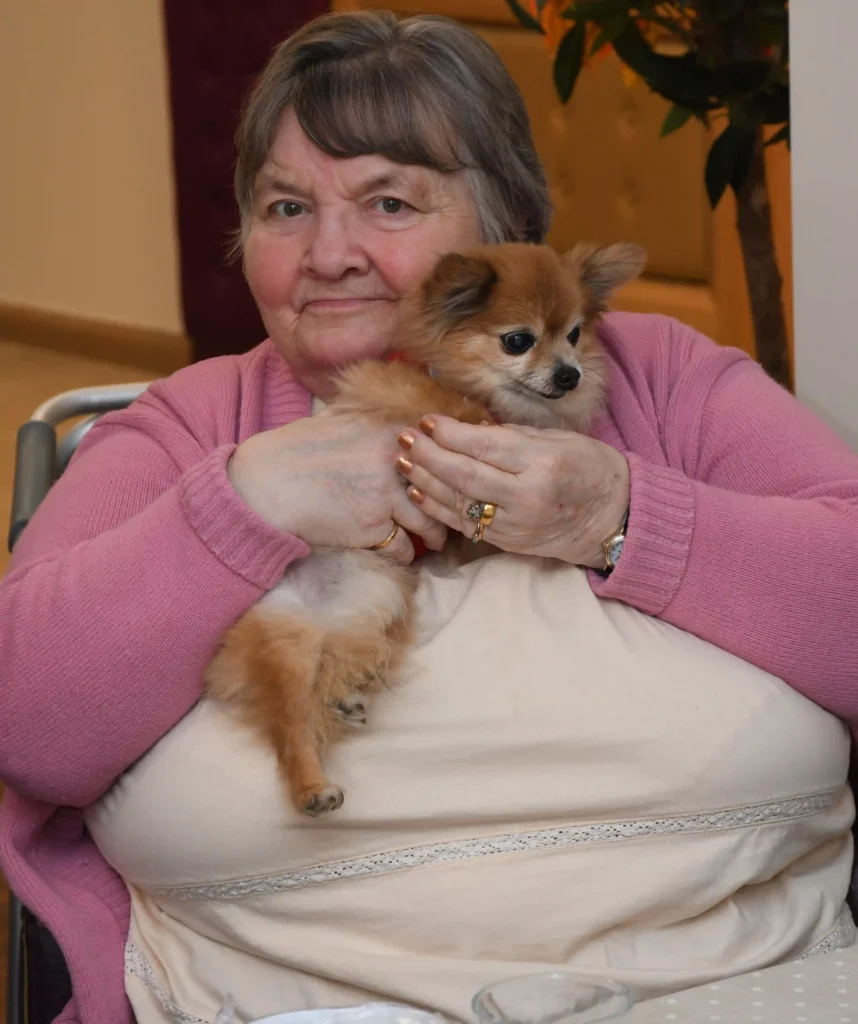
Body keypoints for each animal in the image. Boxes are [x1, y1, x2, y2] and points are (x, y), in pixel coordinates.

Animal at [204, 239, 647, 815]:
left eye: (574, 334)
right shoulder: (404, 400)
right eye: (518, 341)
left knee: (328, 675)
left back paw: (341, 700)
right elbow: (457, 410)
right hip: (289, 638)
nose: (570, 374)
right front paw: (487, 418)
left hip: (369, 607)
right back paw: (312, 788)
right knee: (290, 725)